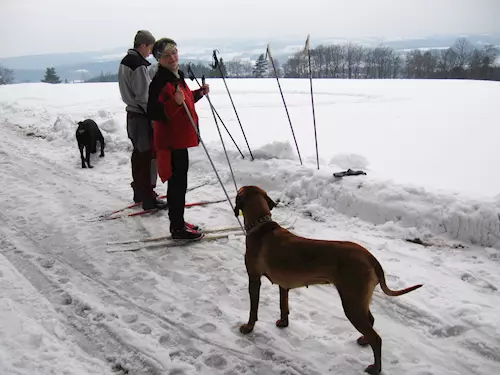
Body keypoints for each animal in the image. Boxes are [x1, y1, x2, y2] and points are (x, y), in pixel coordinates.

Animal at [234, 187, 422, 375]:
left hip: (351, 302)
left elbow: (253, 309)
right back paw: (364, 340)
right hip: (358, 300)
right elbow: (283, 305)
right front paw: (283, 323)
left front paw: (248, 327)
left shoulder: (254, 278)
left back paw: (375, 367)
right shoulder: (283, 285)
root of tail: (370, 257)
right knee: (371, 321)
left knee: (376, 338)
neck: (261, 228)